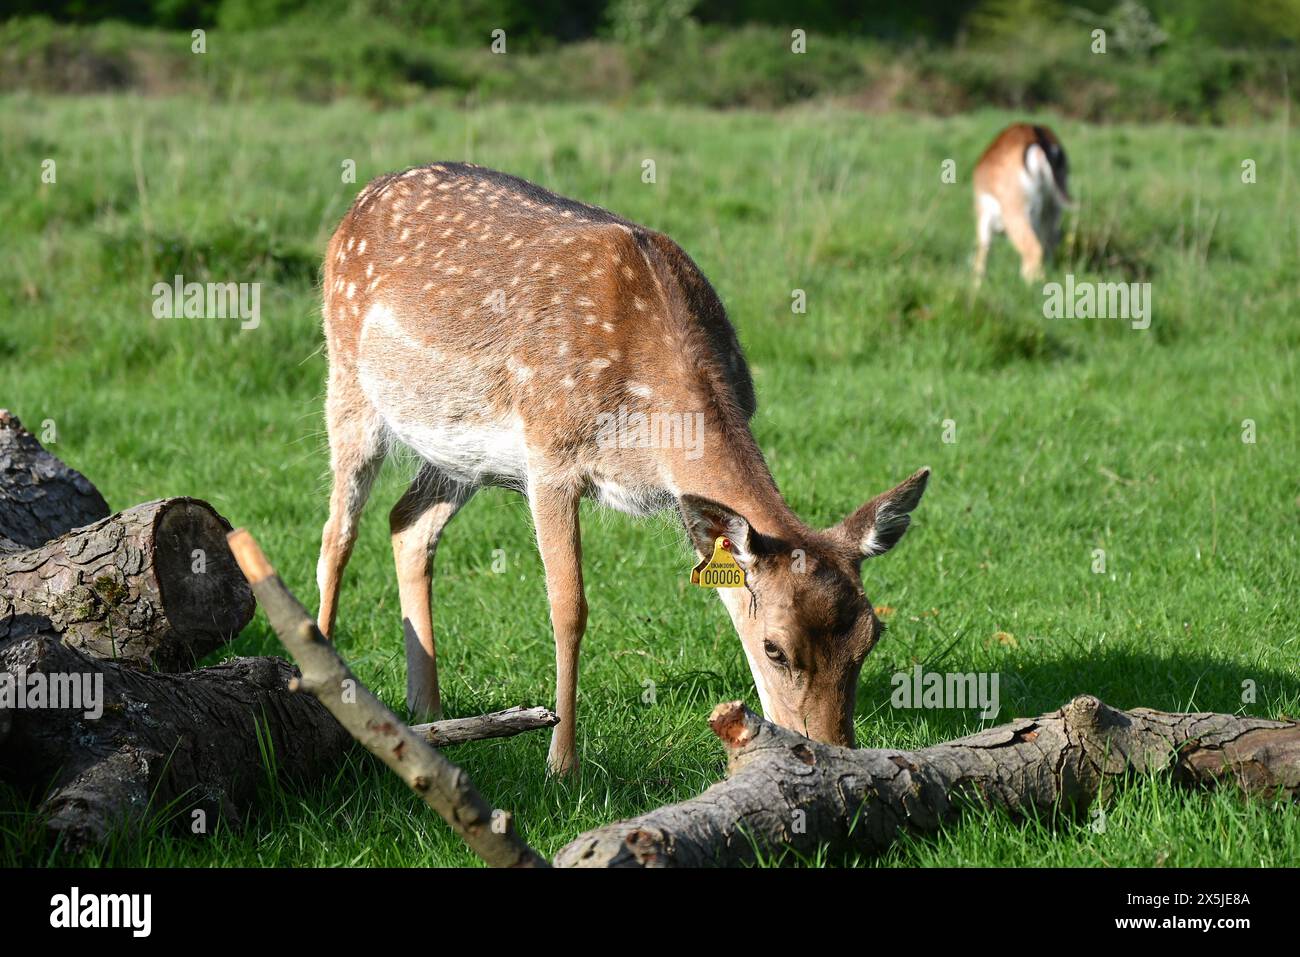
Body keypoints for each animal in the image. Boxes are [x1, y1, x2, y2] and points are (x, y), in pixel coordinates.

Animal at [316, 162, 930, 775]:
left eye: (873, 635)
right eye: (775, 648)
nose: (832, 751)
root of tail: (359, 201)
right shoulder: (549, 455)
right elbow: (569, 608)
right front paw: (561, 763)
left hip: (460, 451)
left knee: (407, 523)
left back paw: (427, 709)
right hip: (346, 376)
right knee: (336, 535)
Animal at [973, 123, 1074, 285]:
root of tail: (1037, 137)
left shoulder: (983, 220)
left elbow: (983, 251)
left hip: (1018, 213)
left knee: (1034, 250)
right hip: (1051, 211)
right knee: (1047, 248)